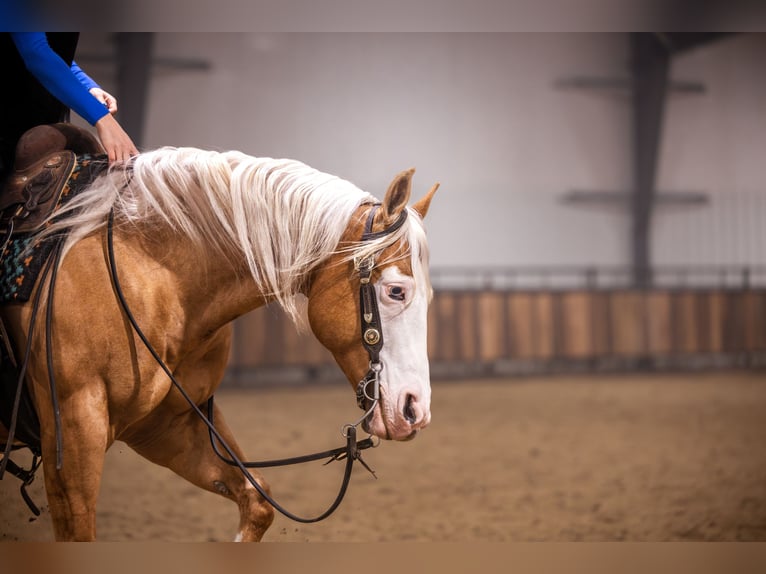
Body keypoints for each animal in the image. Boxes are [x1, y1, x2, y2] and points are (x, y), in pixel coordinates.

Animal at [0, 145, 438, 541]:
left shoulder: (168, 425)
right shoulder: (75, 431)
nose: (414, 410)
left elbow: (257, 502)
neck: (153, 275)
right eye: (396, 291)